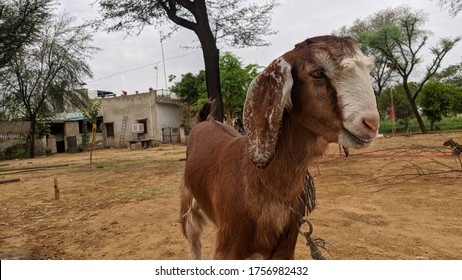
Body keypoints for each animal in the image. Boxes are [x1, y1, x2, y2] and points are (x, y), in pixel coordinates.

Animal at [180, 35, 378, 260]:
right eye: (318, 73)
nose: (371, 125)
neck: (260, 181)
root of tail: (203, 122)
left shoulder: (285, 247)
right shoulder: (227, 247)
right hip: (188, 202)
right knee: (194, 242)